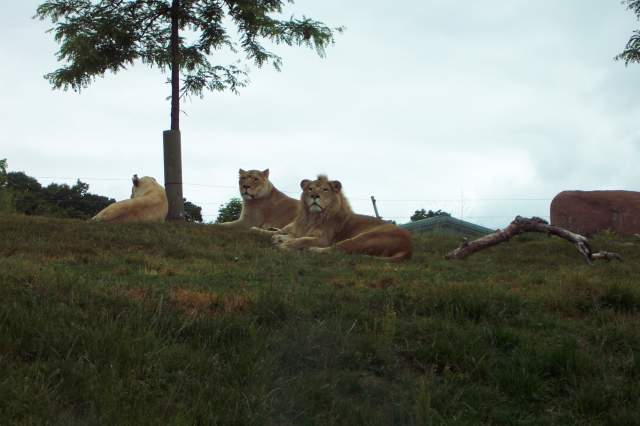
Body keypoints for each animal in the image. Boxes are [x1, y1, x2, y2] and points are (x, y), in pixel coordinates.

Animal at [264, 175, 410, 262]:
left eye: (324, 190)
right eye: (310, 188)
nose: (314, 195)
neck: (313, 217)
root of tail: (409, 248)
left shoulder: (323, 239)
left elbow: (301, 240)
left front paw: (285, 244)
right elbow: (294, 236)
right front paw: (279, 237)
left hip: (363, 238)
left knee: (338, 250)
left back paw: (313, 250)